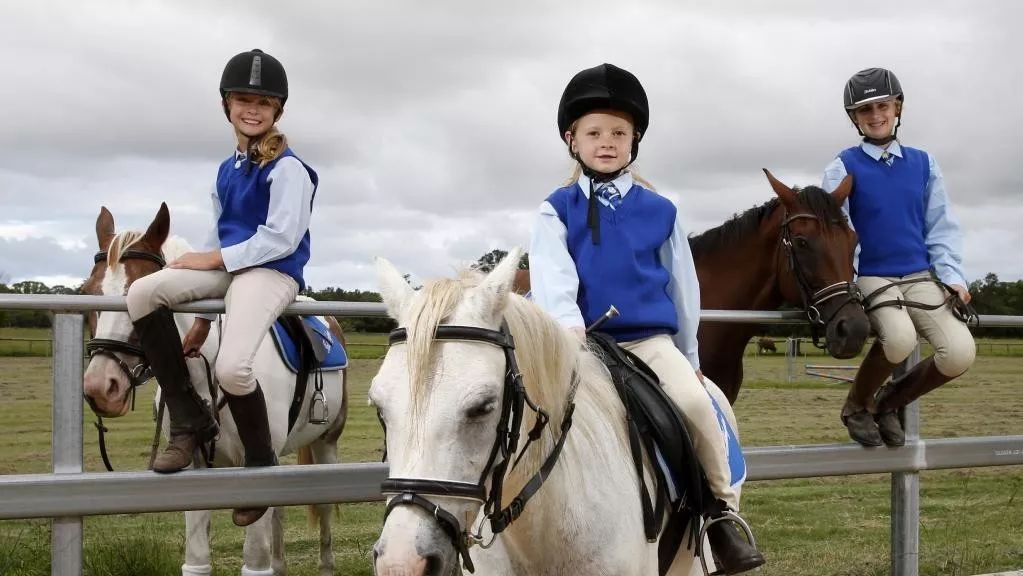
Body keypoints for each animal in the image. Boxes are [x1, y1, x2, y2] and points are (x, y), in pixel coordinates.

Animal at [80, 206, 351, 576]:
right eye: (88, 291)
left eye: (134, 290)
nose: (100, 387)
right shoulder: (197, 470)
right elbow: (196, 561)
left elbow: (255, 560)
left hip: (326, 444)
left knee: (323, 512)